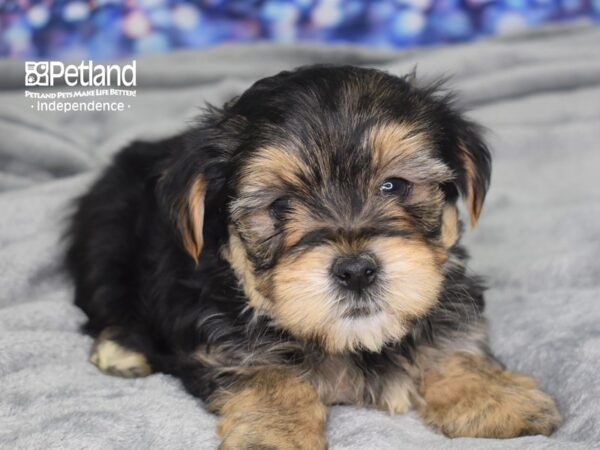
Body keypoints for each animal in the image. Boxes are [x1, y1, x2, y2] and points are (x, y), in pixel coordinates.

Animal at [68, 65, 560, 448]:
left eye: (395, 186)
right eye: (280, 205)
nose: (357, 270)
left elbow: (452, 344)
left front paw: (492, 398)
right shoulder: (221, 335)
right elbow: (269, 374)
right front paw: (274, 434)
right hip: (106, 236)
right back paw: (120, 348)